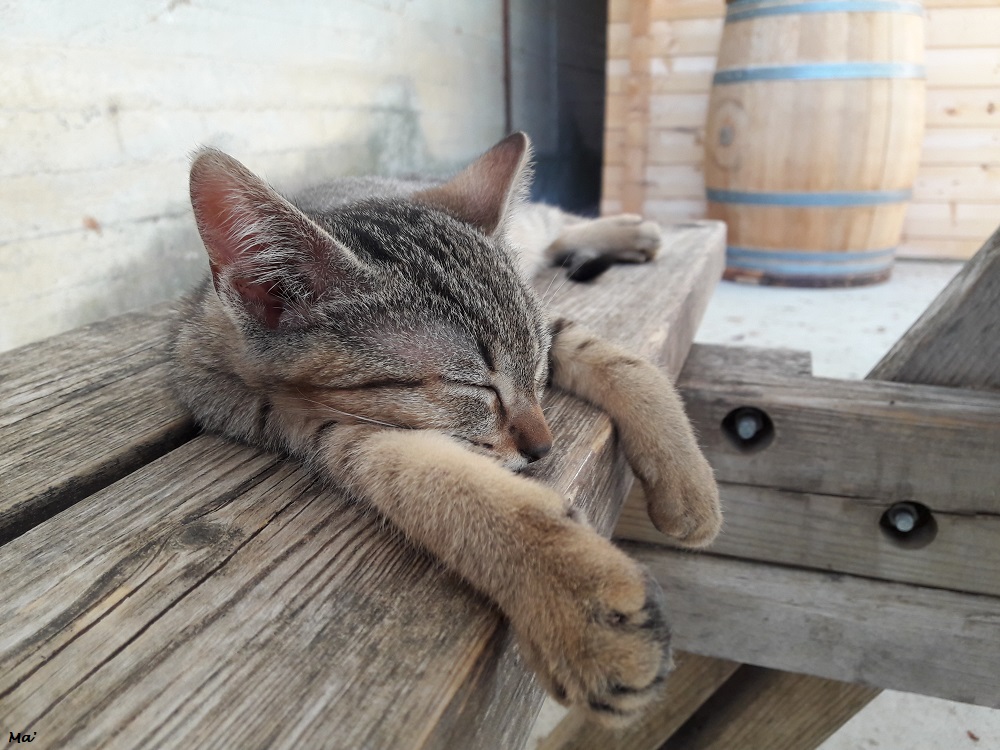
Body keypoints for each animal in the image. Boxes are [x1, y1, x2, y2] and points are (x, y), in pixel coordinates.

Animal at [169, 132, 722, 725]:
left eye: (538, 366)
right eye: (473, 386)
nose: (544, 447)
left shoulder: (549, 323)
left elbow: (622, 362)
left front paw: (687, 481)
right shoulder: (312, 427)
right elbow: (431, 478)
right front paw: (577, 599)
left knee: (553, 219)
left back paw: (633, 229)